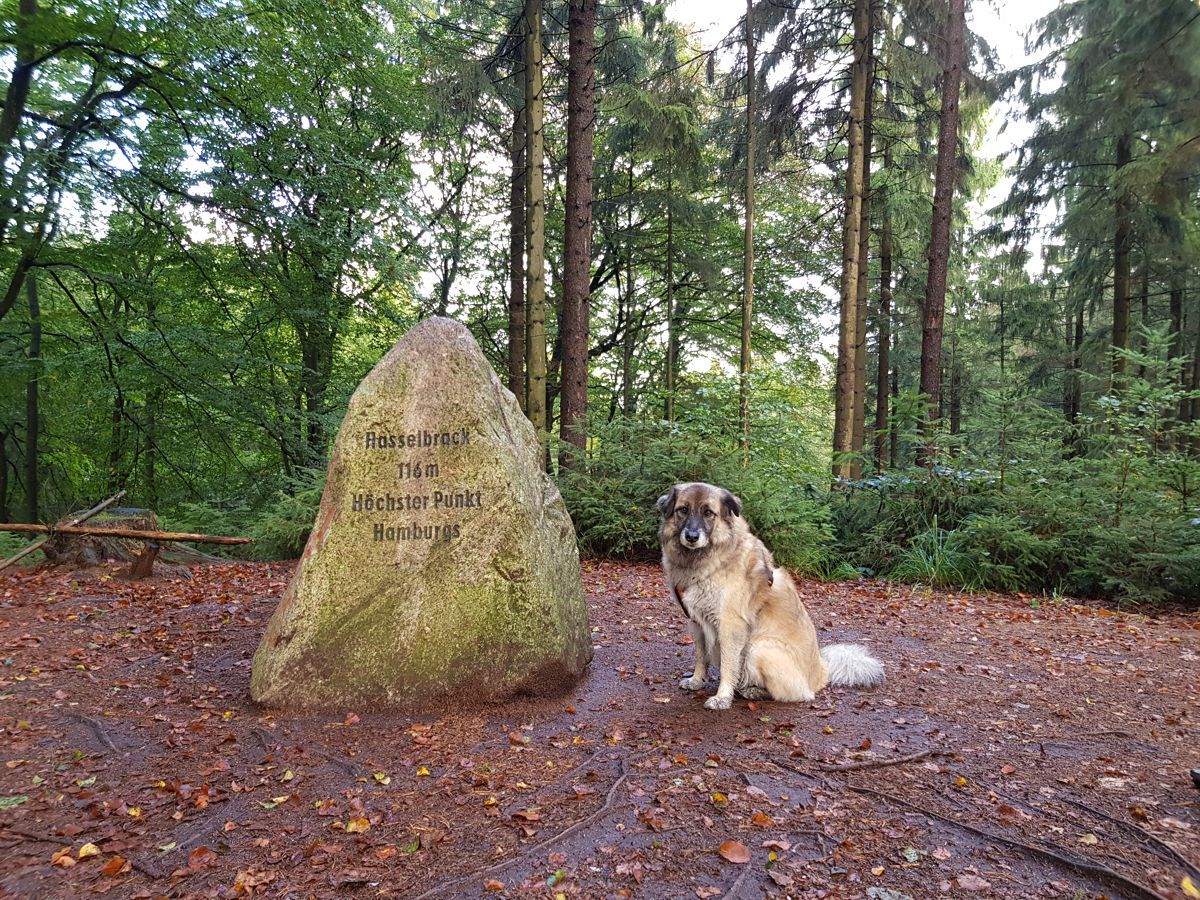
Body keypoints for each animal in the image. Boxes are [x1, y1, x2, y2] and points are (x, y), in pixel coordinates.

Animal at [657, 482, 883, 710]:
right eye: (683, 510)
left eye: (708, 513)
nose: (692, 537)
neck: (705, 563)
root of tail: (821, 670)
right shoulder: (696, 622)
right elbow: (701, 655)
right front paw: (697, 680)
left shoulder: (729, 625)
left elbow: (728, 666)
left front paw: (722, 697)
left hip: (759, 648)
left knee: (800, 694)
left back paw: (751, 691)